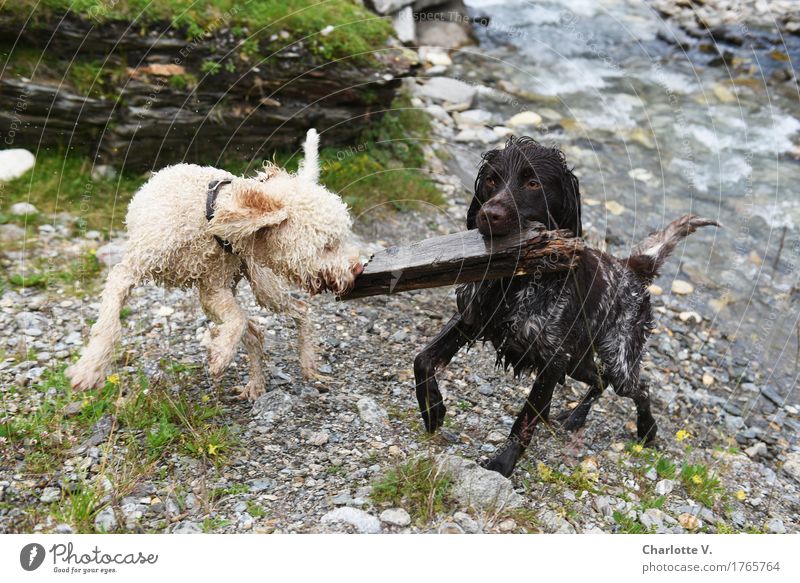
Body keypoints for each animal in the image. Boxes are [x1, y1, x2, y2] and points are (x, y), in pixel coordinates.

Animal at [69, 128, 362, 402]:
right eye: (327, 245)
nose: (357, 269)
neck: (207, 218)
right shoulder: (133, 273)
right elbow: (109, 324)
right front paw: (90, 369)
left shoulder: (214, 287)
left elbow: (238, 320)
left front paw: (220, 354)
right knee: (256, 331)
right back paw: (256, 382)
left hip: (264, 286)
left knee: (298, 310)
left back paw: (304, 366)